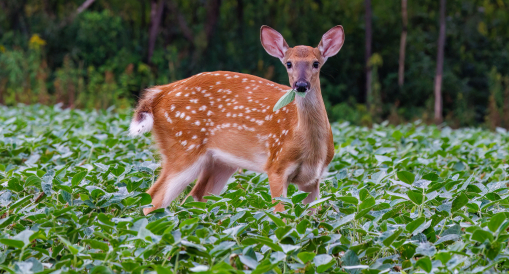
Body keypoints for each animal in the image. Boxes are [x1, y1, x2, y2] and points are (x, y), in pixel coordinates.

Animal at [131, 25, 346, 214]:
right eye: (289, 63)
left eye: (316, 63)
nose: (301, 85)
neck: (309, 147)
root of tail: (159, 94)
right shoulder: (276, 166)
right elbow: (280, 215)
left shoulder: (313, 180)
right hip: (183, 148)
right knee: (154, 199)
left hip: (220, 162)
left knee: (193, 198)